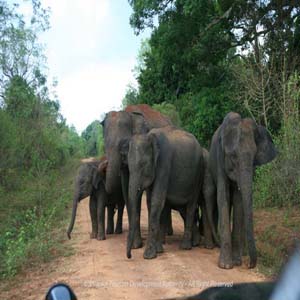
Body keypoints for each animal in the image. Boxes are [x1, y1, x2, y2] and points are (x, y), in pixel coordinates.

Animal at [101, 104, 172, 247]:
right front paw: (135, 244)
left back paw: (168, 234)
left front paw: (136, 245)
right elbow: (126, 190)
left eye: (123, 144)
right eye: (105, 145)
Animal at [120, 125, 205, 258]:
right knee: (184, 209)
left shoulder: (164, 163)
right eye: (129, 166)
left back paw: (186, 247)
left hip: (198, 175)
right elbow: (150, 202)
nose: (130, 256)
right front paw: (158, 251)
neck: (150, 136)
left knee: (191, 206)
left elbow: (156, 201)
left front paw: (148, 256)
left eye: (143, 165)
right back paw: (195, 242)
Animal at [209, 112, 276, 270]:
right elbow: (223, 195)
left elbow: (239, 200)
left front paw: (237, 262)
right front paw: (226, 266)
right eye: (233, 156)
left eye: (254, 157)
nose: (250, 265)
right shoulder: (219, 158)